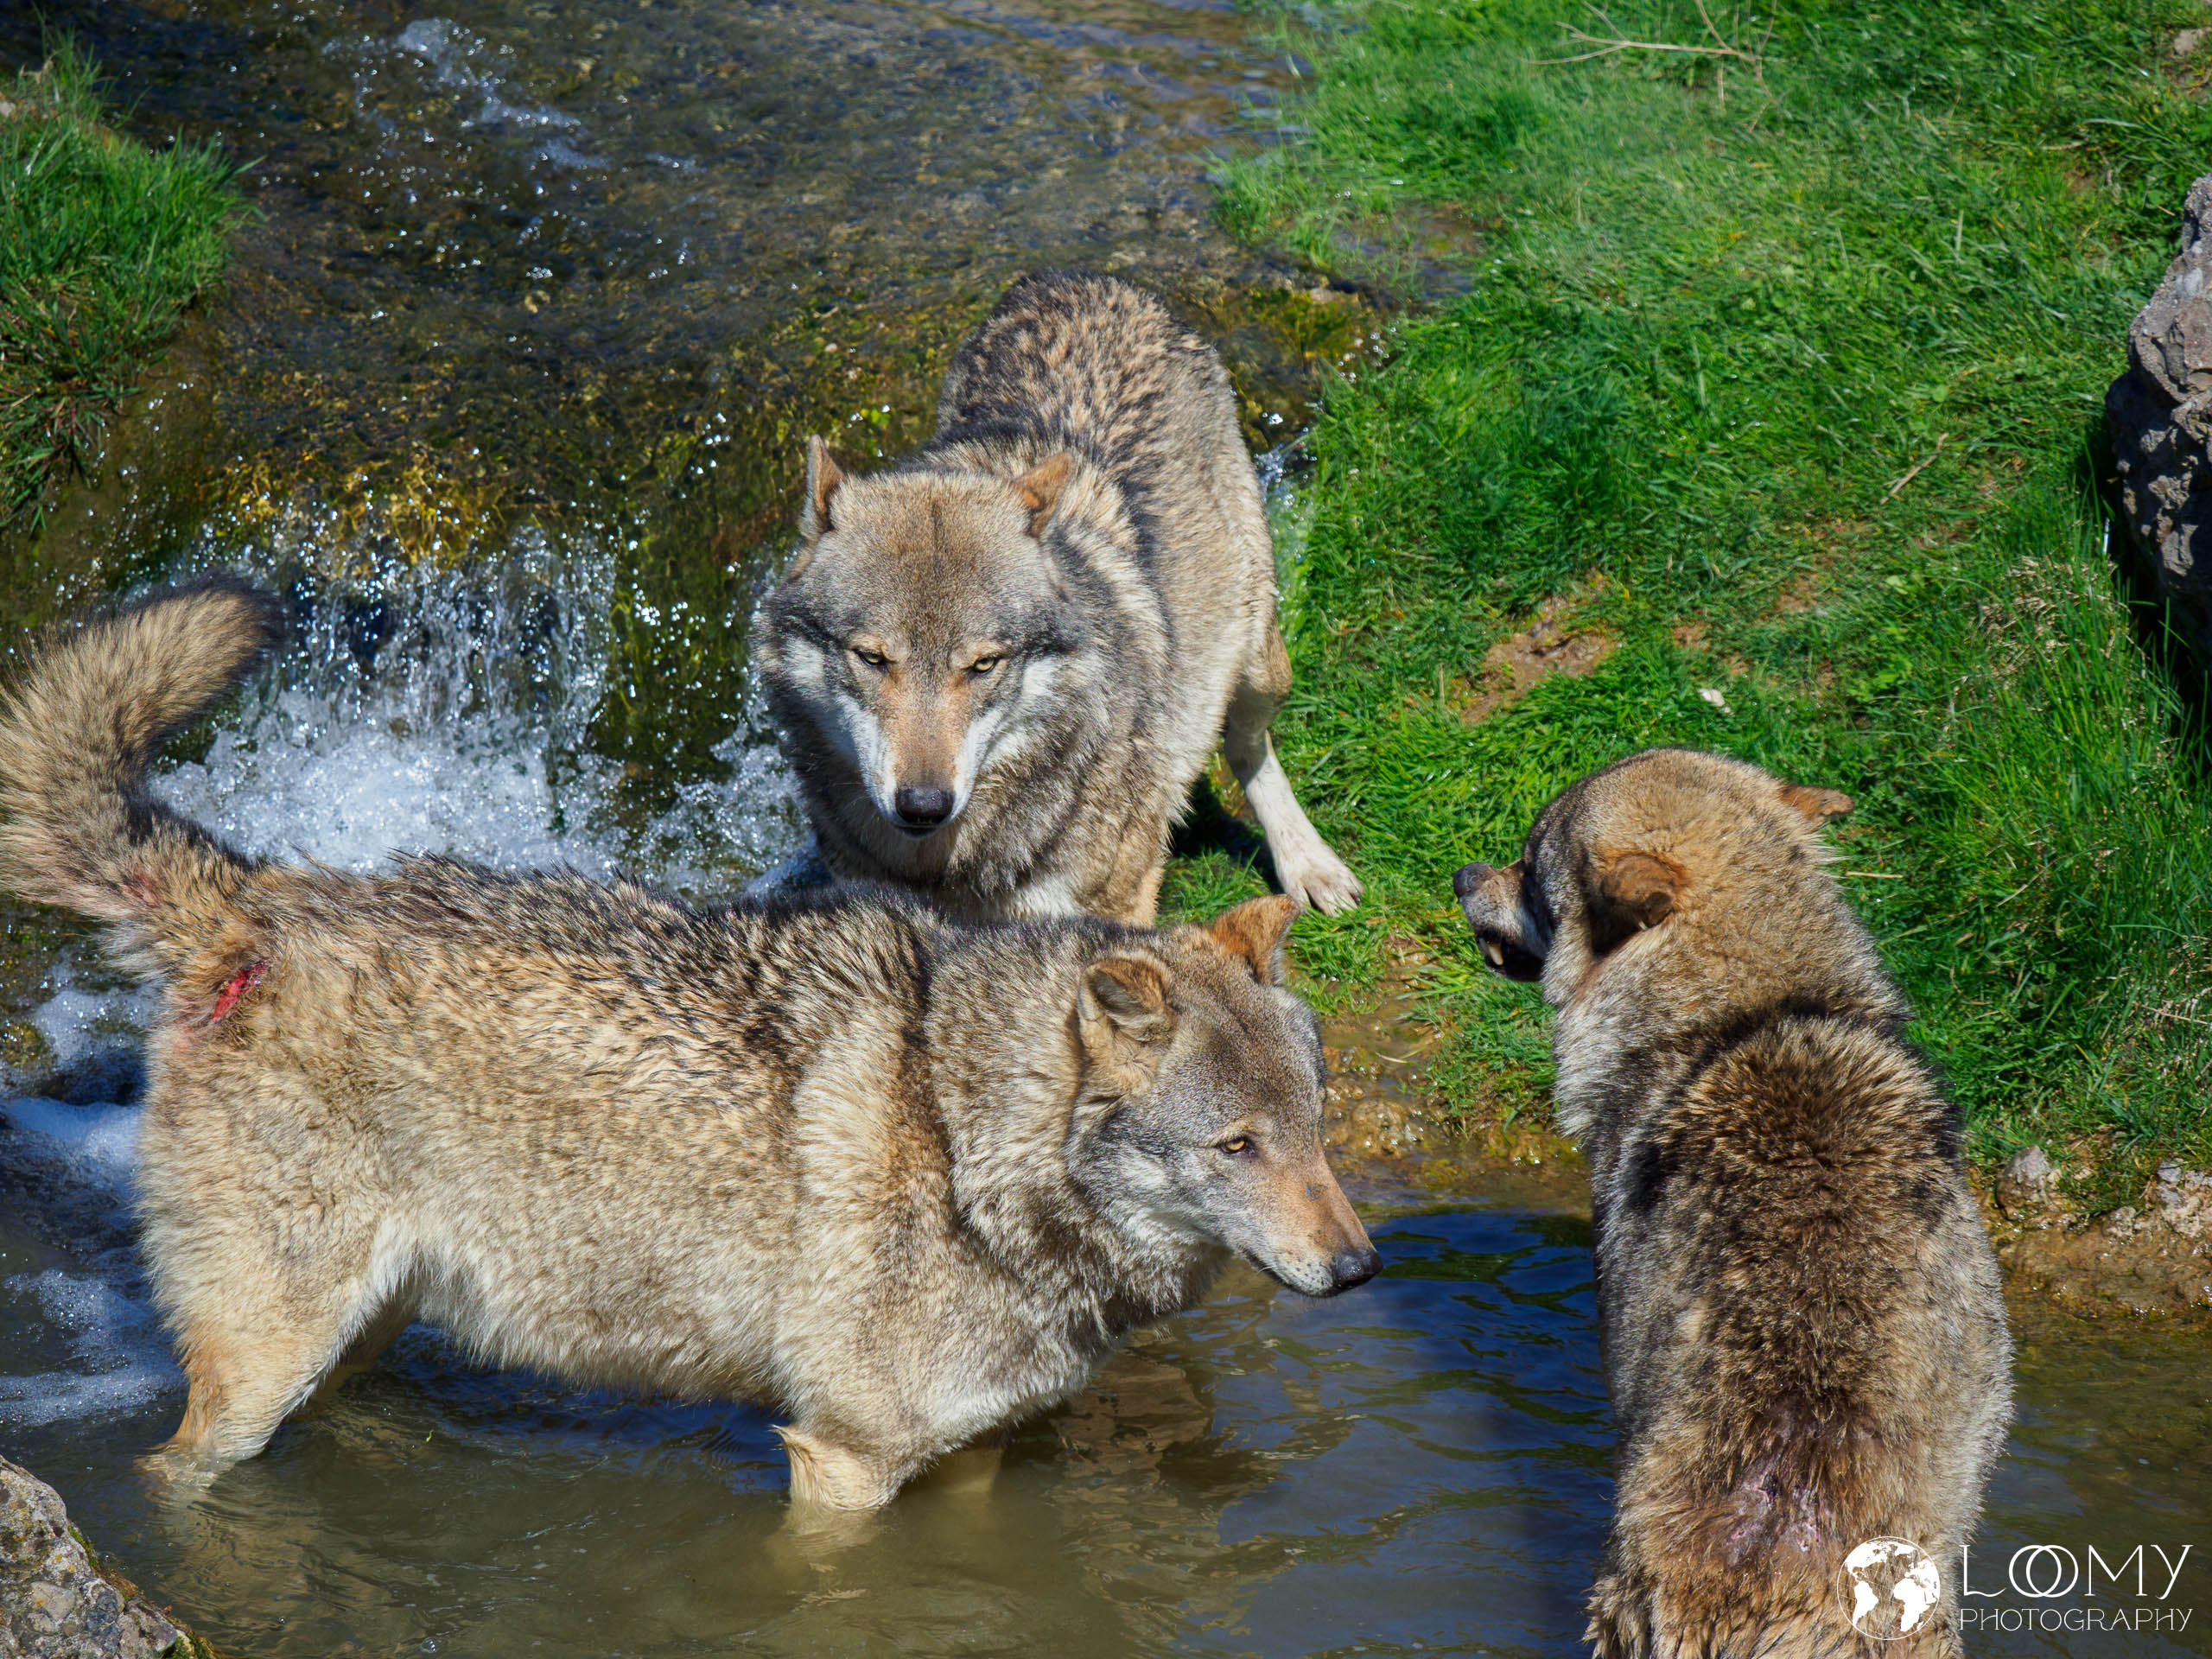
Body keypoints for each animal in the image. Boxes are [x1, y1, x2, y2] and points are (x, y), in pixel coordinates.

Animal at [0, 581, 1381, 1515]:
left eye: (1314, 1134)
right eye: (1236, 1147)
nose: (1364, 1269)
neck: (962, 1143)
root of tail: (257, 898)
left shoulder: (970, 1455)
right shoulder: (841, 1462)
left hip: (364, 1321)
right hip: (259, 1363)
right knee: (172, 1472)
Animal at [755, 269, 1360, 925]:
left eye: (984, 665)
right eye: (872, 658)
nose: (923, 804)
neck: (948, 867)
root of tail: (1078, 279)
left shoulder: (1117, 906)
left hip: (1258, 667)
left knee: (1249, 747)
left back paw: (1309, 864)